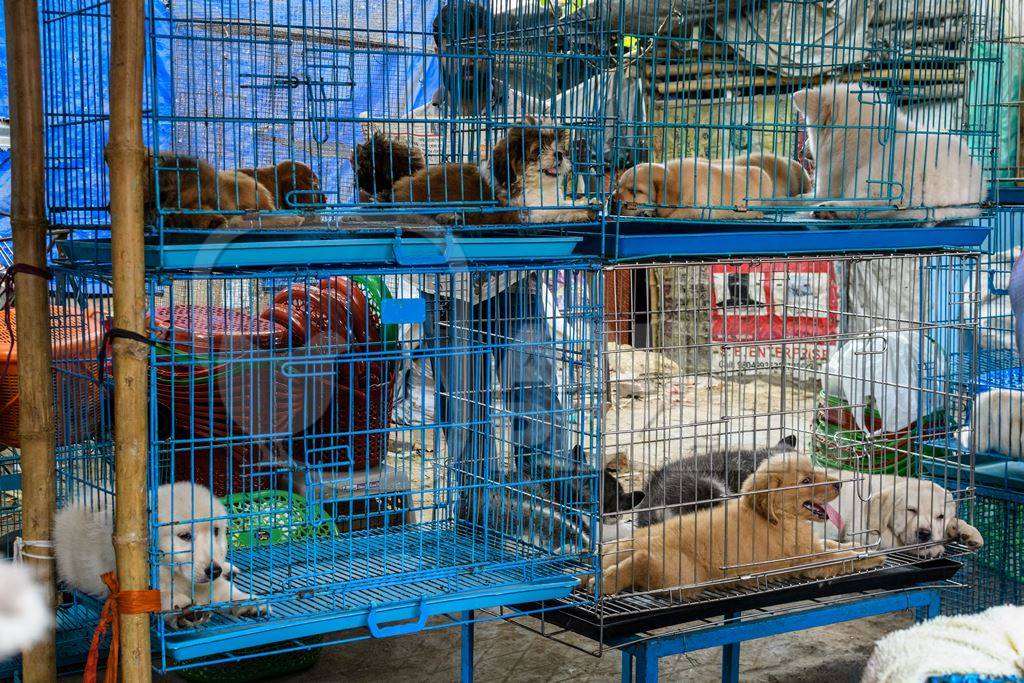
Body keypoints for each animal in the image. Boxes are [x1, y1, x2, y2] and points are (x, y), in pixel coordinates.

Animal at [55, 481, 268, 630]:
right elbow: (162, 596)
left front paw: (247, 602)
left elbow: (225, 590)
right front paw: (184, 611)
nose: (213, 570)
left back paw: (228, 569)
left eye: (215, 531)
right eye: (185, 536)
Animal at [598, 456, 884, 602]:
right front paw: (868, 556)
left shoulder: (812, 546)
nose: (840, 485)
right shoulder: (809, 560)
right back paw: (605, 582)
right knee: (642, 561)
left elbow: (834, 545)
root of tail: (638, 541)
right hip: (682, 574)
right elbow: (839, 557)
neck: (781, 518)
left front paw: (860, 546)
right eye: (806, 480)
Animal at [790, 81, 983, 223]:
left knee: (866, 207)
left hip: (876, 172)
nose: (801, 149)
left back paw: (830, 209)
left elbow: (807, 196)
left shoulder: (831, 179)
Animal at [815, 475, 983, 561]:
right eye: (911, 510)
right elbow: (899, 543)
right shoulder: (863, 531)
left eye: (940, 516)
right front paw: (930, 549)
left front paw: (968, 533)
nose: (924, 533)